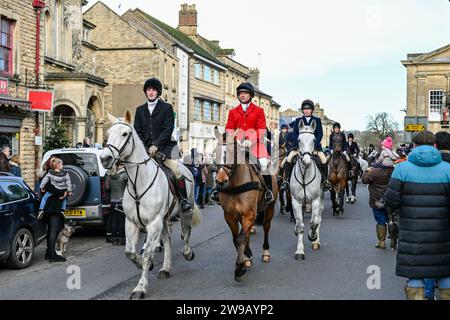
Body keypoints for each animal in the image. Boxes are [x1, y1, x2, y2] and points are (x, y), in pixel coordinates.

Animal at [102, 111, 202, 298]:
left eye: (125, 134)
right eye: (108, 134)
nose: (105, 159)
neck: (138, 183)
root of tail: (186, 168)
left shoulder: (153, 223)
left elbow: (148, 253)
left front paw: (140, 288)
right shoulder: (131, 222)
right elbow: (130, 252)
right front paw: (143, 265)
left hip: (186, 211)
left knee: (186, 232)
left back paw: (188, 253)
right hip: (164, 219)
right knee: (167, 239)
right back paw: (165, 268)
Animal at [214, 129, 278, 282]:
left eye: (233, 152)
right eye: (215, 152)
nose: (220, 182)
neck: (235, 185)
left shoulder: (249, 213)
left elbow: (241, 238)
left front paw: (239, 268)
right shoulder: (230, 216)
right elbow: (236, 239)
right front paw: (244, 259)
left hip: (269, 208)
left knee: (266, 226)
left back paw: (265, 252)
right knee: (247, 232)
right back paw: (248, 255)